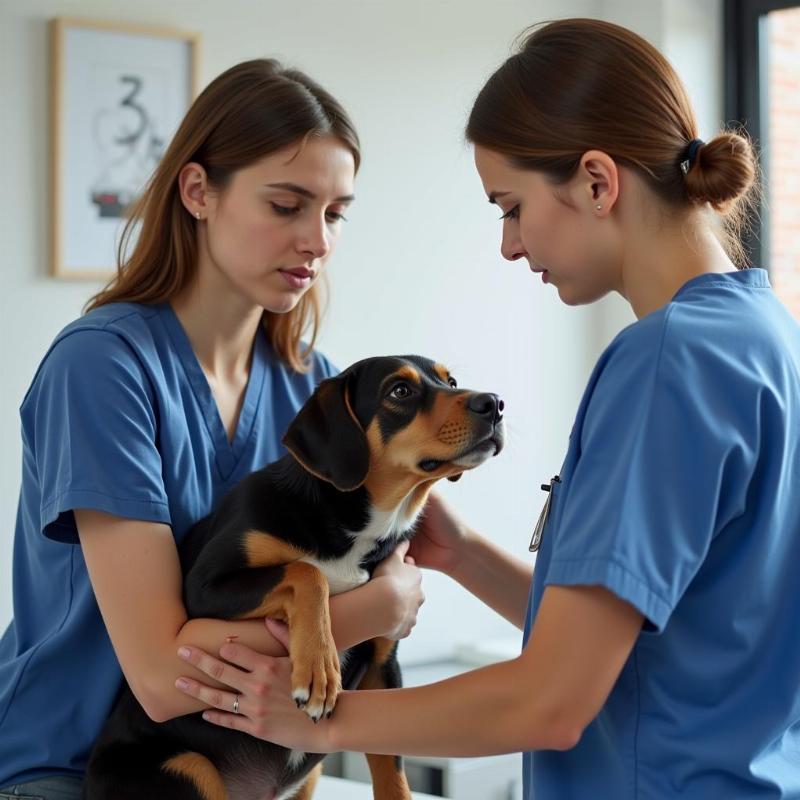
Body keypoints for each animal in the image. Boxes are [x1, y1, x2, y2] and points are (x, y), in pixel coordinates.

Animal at [177, 18, 800, 800]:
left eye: (451, 375)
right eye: (400, 390)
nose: (495, 401)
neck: (360, 518)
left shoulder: (383, 661)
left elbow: (389, 763)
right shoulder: (206, 589)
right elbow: (306, 572)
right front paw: (315, 664)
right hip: (190, 766)